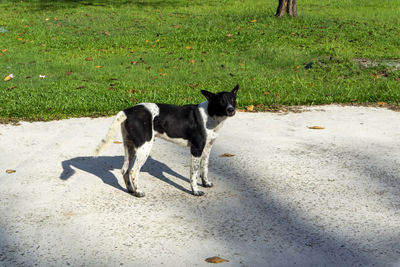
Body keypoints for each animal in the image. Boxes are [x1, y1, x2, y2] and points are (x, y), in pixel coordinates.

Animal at [95, 85, 239, 198]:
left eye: (233, 99)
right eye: (221, 101)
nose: (231, 110)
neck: (210, 114)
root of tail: (127, 111)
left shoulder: (207, 149)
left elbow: (204, 168)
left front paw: (206, 183)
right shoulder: (196, 150)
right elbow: (193, 174)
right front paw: (195, 191)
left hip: (129, 147)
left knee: (124, 169)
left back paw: (131, 190)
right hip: (144, 147)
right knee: (133, 171)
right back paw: (139, 192)